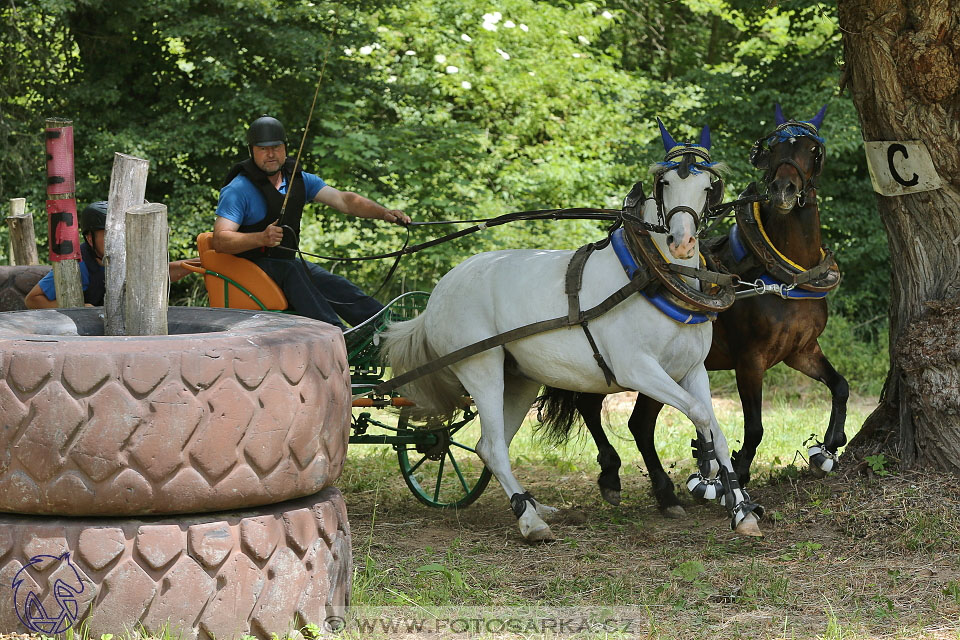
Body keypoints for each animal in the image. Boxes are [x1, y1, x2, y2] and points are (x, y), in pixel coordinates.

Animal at [384, 120, 764, 540]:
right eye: (664, 183)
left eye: (708, 187)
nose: (682, 243)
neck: (650, 275)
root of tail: (438, 293)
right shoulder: (638, 370)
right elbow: (699, 414)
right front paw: (707, 470)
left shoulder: (693, 369)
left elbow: (716, 426)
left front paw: (740, 507)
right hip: (481, 368)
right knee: (494, 446)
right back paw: (530, 521)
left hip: (519, 378)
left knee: (487, 444)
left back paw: (532, 505)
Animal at [540, 106, 848, 516]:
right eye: (773, 150)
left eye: (813, 151)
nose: (783, 189)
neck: (780, 276)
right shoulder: (750, 361)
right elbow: (755, 428)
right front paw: (737, 474)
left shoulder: (802, 351)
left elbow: (840, 386)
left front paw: (828, 447)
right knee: (613, 415)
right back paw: (630, 480)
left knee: (621, 417)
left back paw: (632, 480)